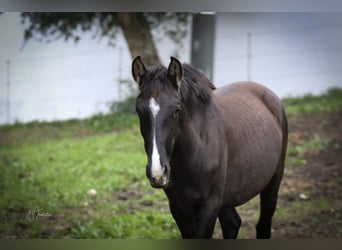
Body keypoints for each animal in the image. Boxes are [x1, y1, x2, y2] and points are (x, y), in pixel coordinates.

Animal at [132, 56, 288, 238]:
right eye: (138, 110)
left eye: (177, 109)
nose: (157, 173)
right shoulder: (178, 207)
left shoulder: (209, 206)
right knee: (232, 224)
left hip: (272, 184)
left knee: (262, 225)